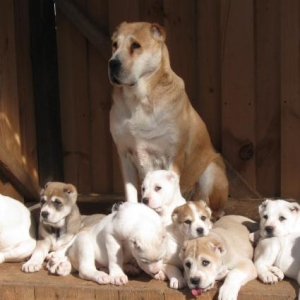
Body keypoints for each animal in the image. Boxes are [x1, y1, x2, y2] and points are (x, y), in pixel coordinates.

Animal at [109, 20, 229, 218]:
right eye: (114, 45)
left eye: (135, 46)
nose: (112, 63)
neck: (138, 99)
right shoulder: (124, 154)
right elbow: (131, 192)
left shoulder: (173, 155)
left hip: (211, 172)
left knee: (212, 206)